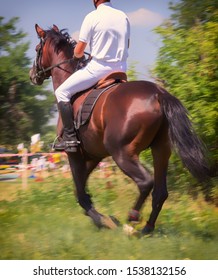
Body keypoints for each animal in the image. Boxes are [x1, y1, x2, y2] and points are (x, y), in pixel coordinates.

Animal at [29, 24, 208, 234]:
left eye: (36, 49)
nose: (32, 75)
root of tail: (158, 93)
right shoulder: (93, 156)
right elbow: (80, 190)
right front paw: (100, 217)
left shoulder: (74, 155)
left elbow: (80, 193)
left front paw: (102, 220)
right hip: (161, 150)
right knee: (160, 191)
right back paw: (147, 229)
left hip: (122, 153)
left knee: (145, 182)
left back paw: (131, 219)